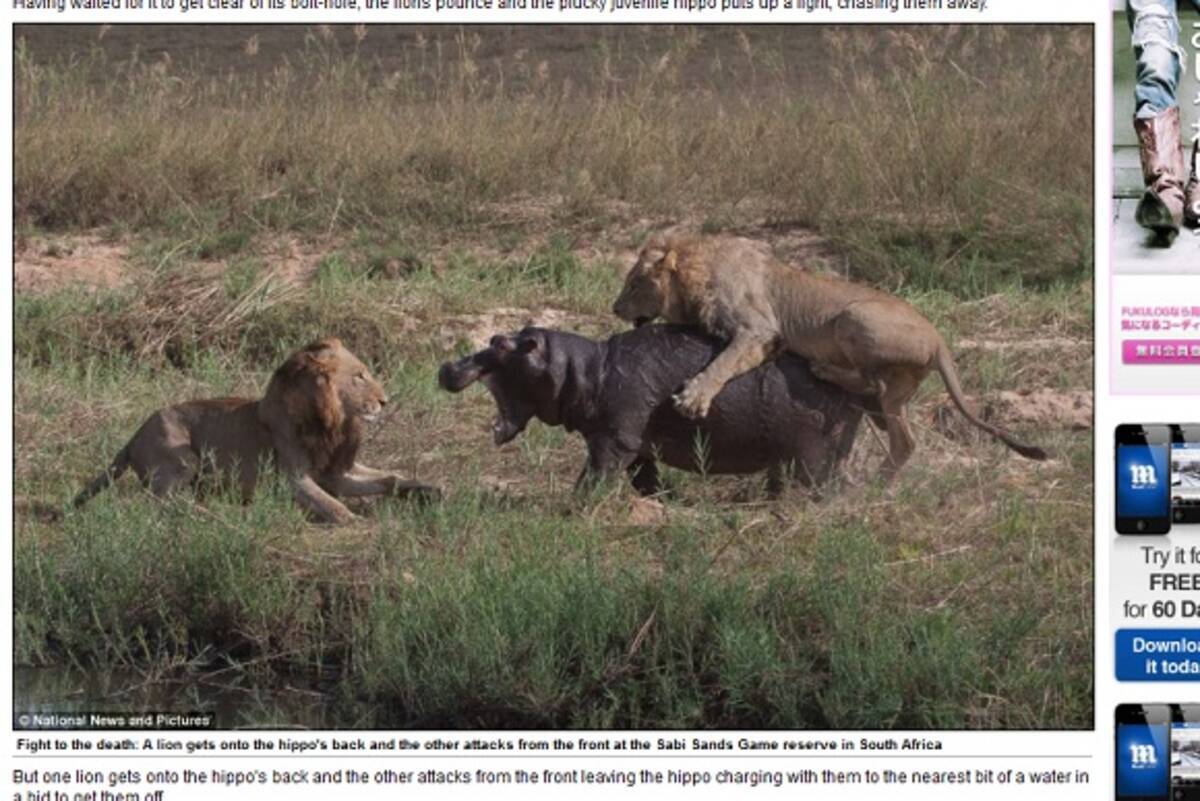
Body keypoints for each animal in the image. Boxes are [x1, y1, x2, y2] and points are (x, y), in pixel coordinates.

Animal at [70, 335, 439, 520]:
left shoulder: (336, 471)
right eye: (360, 376)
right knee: (158, 502)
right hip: (182, 457)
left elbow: (388, 477)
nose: (385, 401)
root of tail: (133, 436)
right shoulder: (293, 478)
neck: (334, 422)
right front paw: (360, 523)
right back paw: (212, 512)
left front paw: (426, 489)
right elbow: (335, 507)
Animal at [436, 323, 868, 496]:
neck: (586, 370)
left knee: (823, 485)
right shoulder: (636, 445)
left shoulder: (614, 440)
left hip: (811, 456)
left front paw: (574, 505)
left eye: (502, 345)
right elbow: (644, 478)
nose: (446, 367)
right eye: (496, 335)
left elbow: (595, 475)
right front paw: (663, 500)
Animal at [614, 231, 1046, 482]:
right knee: (902, 437)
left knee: (871, 380)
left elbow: (722, 362)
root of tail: (939, 338)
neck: (695, 266)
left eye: (634, 283)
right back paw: (878, 482)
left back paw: (824, 369)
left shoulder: (759, 331)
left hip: (852, 316)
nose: (615, 308)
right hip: (898, 392)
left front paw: (694, 398)